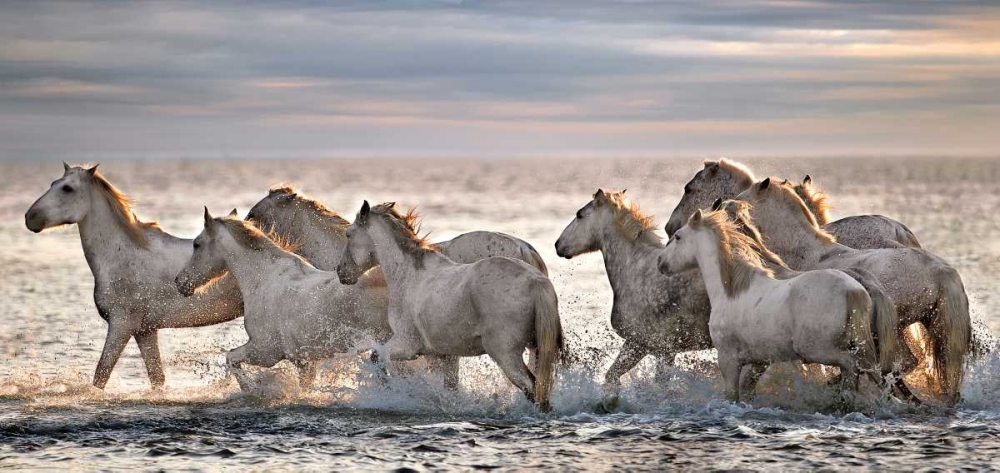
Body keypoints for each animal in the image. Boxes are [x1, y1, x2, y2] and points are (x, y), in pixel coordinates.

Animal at [23, 163, 244, 389]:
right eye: (53, 183)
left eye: (67, 188)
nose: (30, 217)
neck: (123, 255)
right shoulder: (145, 331)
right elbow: (156, 378)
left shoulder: (121, 325)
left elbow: (101, 374)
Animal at [174, 208, 390, 391]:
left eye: (196, 244)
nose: (180, 282)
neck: (264, 278)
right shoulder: (304, 361)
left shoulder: (264, 351)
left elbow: (230, 357)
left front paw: (251, 389)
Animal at [335, 201, 563, 412]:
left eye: (349, 234)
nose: (341, 272)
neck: (407, 274)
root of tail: (536, 282)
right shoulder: (442, 355)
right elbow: (449, 387)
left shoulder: (406, 345)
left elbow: (376, 356)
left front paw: (387, 389)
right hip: (536, 349)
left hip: (506, 355)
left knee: (532, 388)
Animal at [657, 208, 895, 404]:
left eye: (678, 237)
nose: (661, 263)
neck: (731, 292)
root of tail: (854, 289)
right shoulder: (760, 361)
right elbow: (748, 392)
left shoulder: (728, 359)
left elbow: (732, 395)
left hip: (817, 349)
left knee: (852, 367)